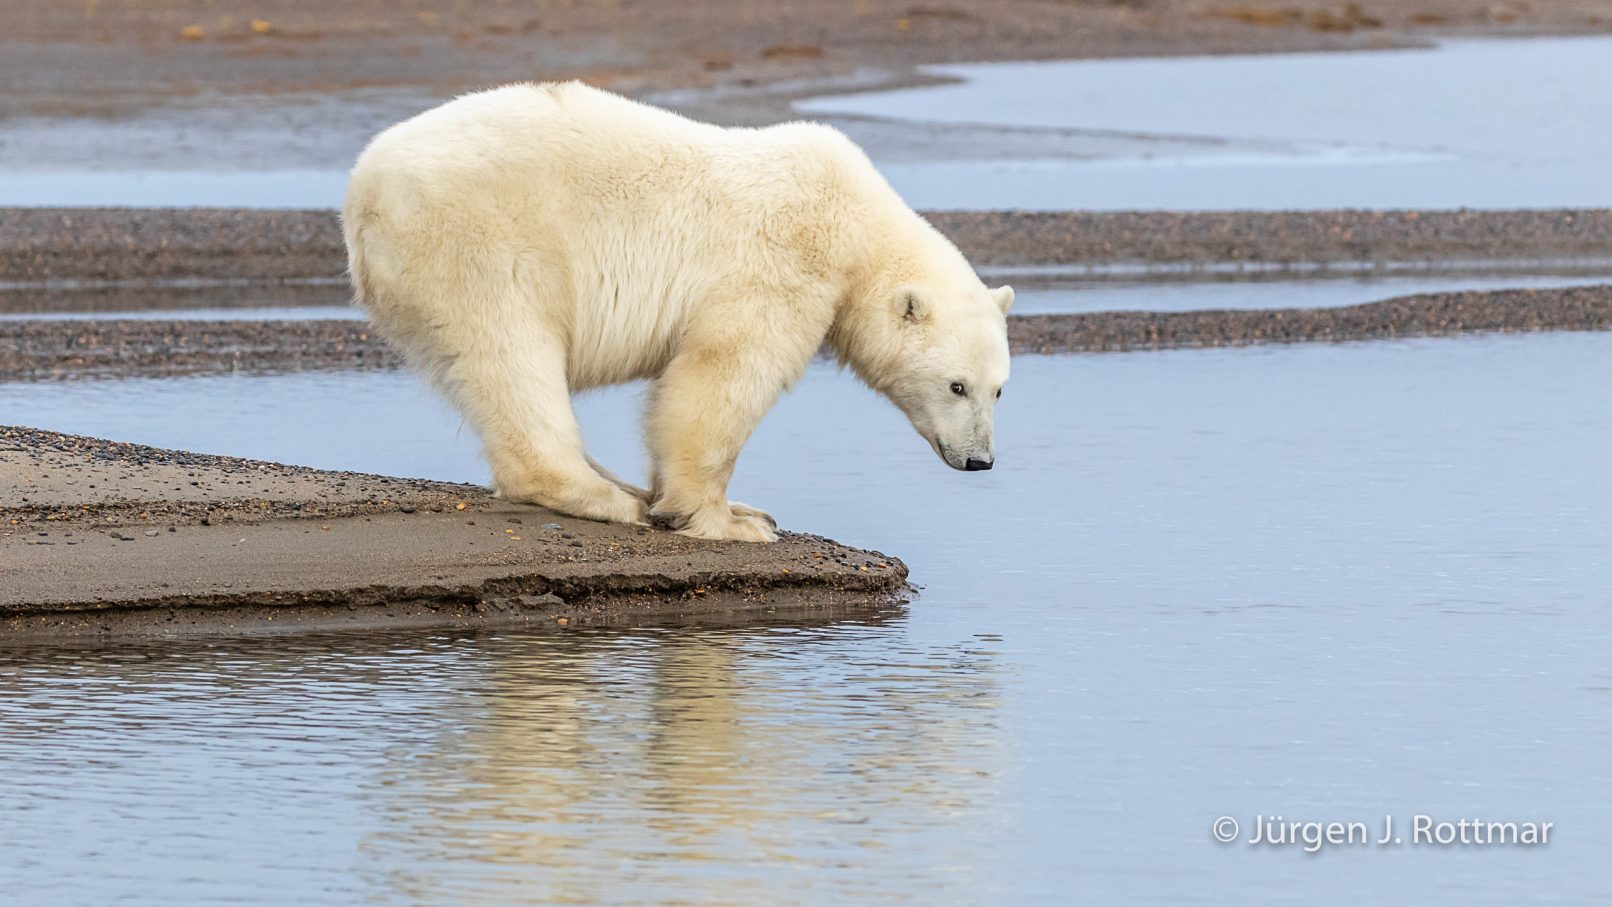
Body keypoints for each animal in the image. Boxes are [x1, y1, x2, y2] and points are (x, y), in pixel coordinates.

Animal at [342, 82, 1012, 542]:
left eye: (999, 390)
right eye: (956, 385)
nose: (980, 461)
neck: (859, 226)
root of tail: (362, 193)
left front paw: (740, 507)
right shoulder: (784, 263)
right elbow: (723, 373)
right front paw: (731, 521)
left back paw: (620, 484)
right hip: (484, 242)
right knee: (514, 351)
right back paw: (610, 498)